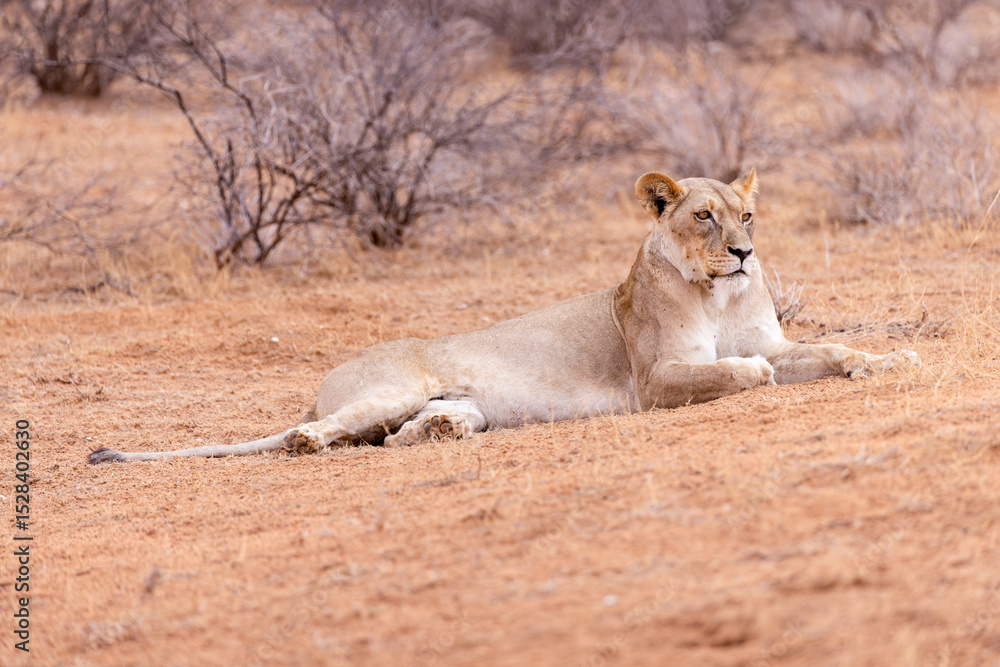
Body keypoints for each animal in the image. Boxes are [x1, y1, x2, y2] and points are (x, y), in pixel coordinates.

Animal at [89, 169, 917, 464]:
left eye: (746, 216)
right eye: (703, 217)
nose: (744, 252)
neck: (718, 292)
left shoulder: (776, 336)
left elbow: (829, 349)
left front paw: (888, 360)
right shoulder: (655, 378)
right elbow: (745, 371)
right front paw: (754, 372)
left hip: (456, 407)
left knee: (402, 431)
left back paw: (435, 431)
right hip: (383, 388)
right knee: (316, 432)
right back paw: (313, 439)